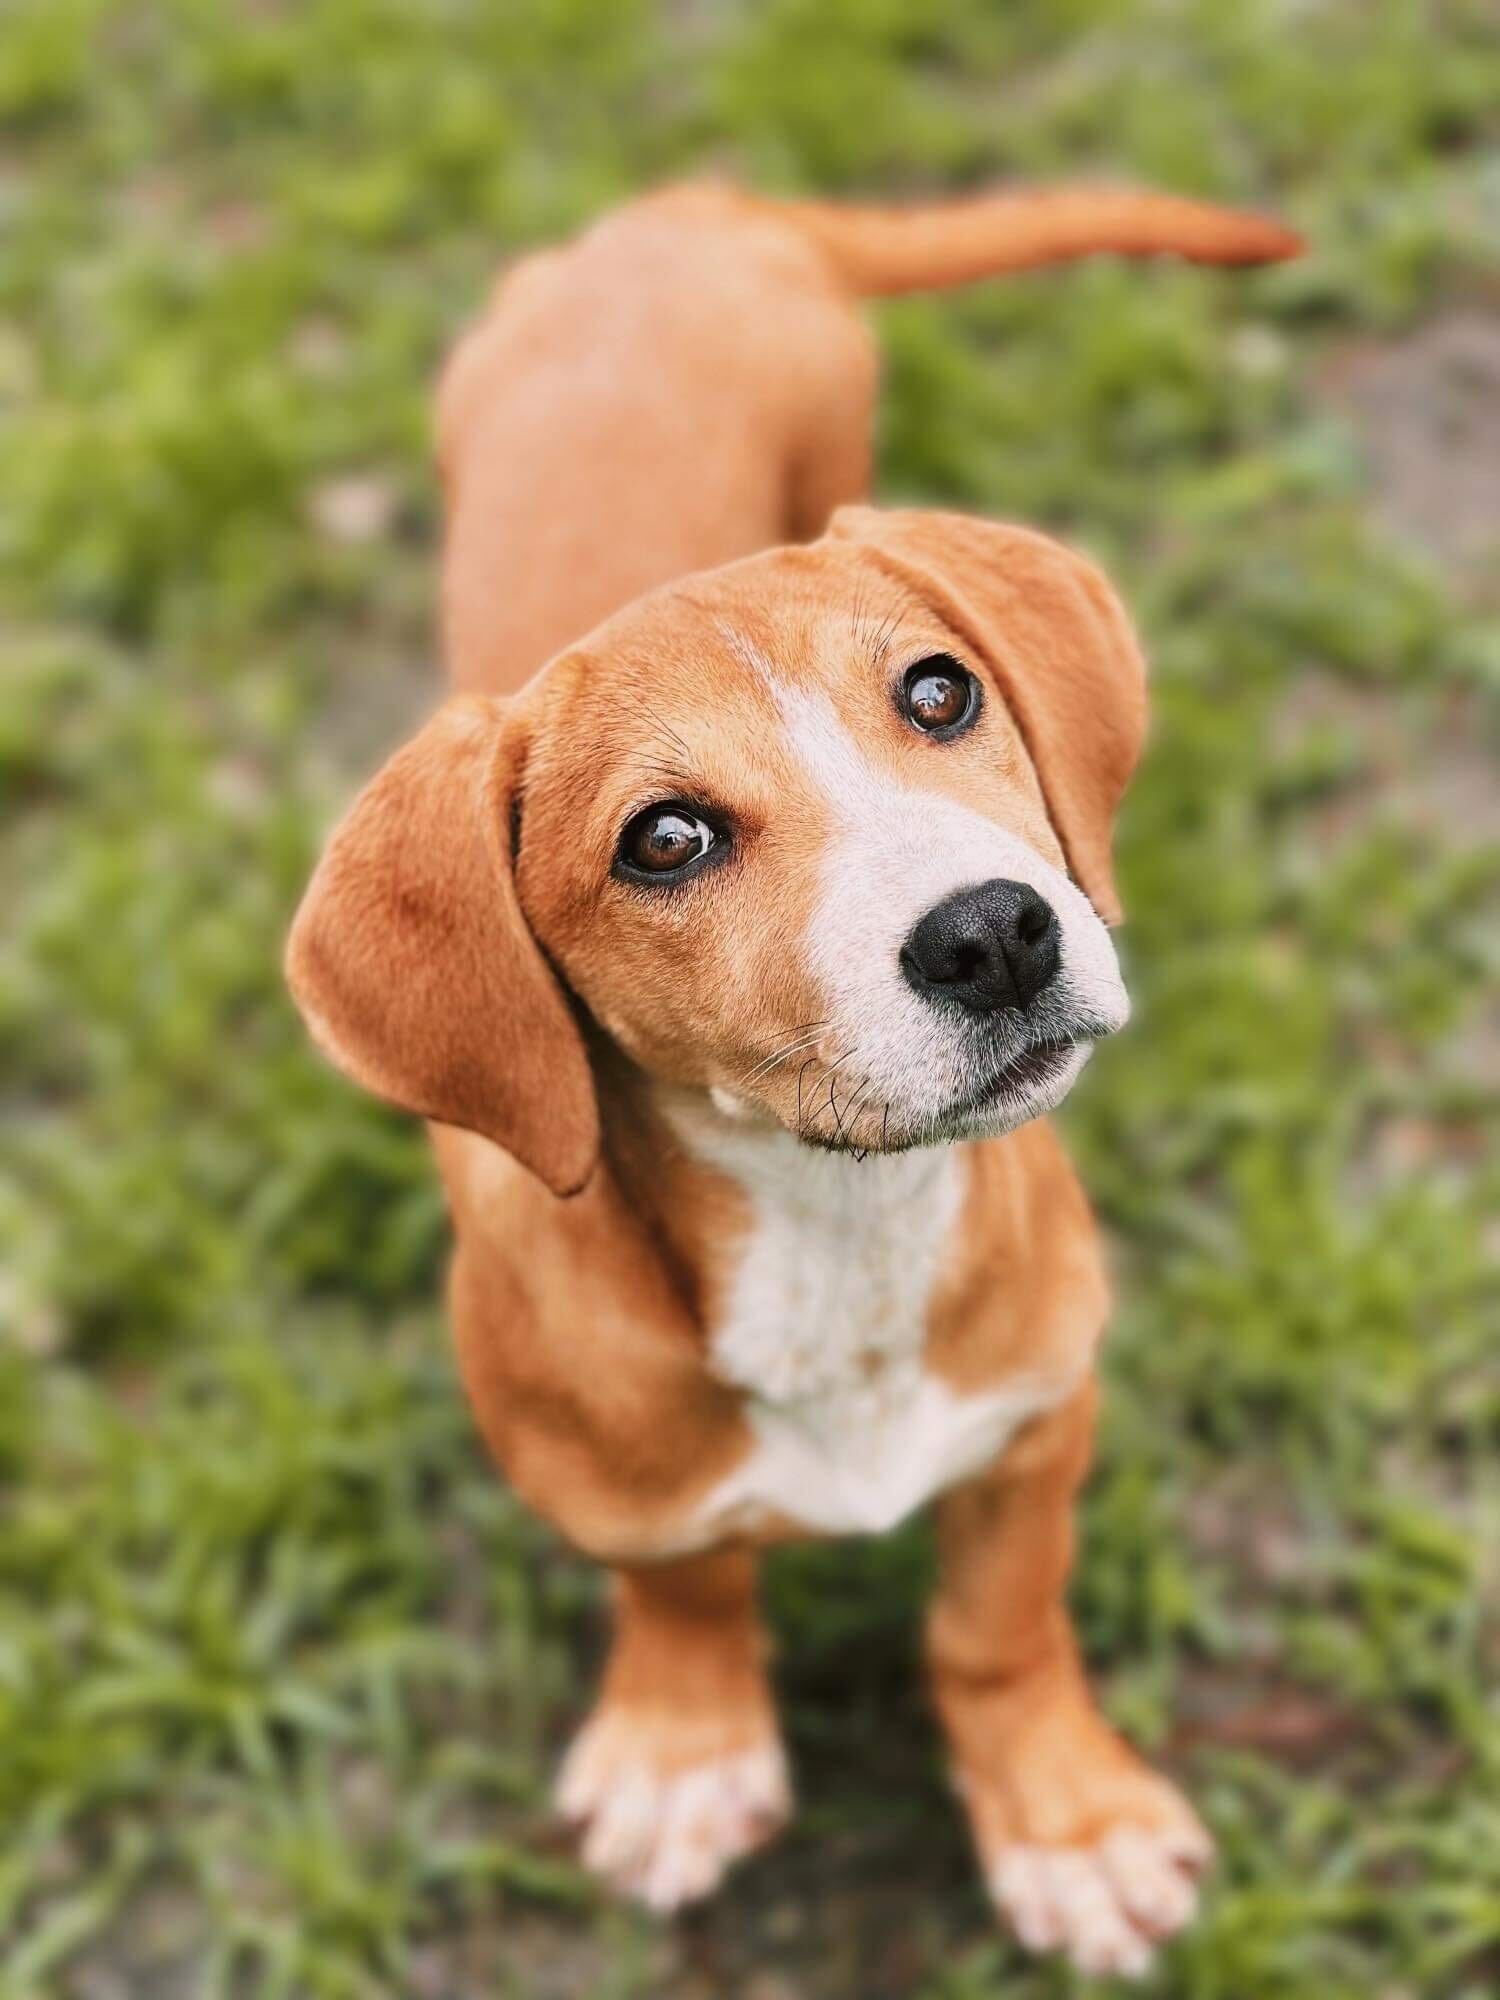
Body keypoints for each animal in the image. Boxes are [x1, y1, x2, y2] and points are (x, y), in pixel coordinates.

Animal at [288, 180, 1296, 1976]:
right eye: (665, 840)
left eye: (939, 692)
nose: (995, 934)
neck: (836, 1223)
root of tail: (686, 213)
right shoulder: (596, 1463)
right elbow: (678, 1573)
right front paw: (686, 1739)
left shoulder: (1041, 1413)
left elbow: (995, 1626)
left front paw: (1066, 1823)